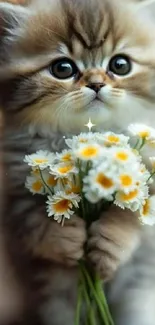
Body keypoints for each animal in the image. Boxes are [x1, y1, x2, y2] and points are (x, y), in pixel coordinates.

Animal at [0, 0, 155, 322]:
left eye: (120, 65)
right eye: (63, 68)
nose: (95, 83)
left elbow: (134, 215)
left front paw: (111, 239)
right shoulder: (15, 194)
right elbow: (35, 220)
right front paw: (64, 236)